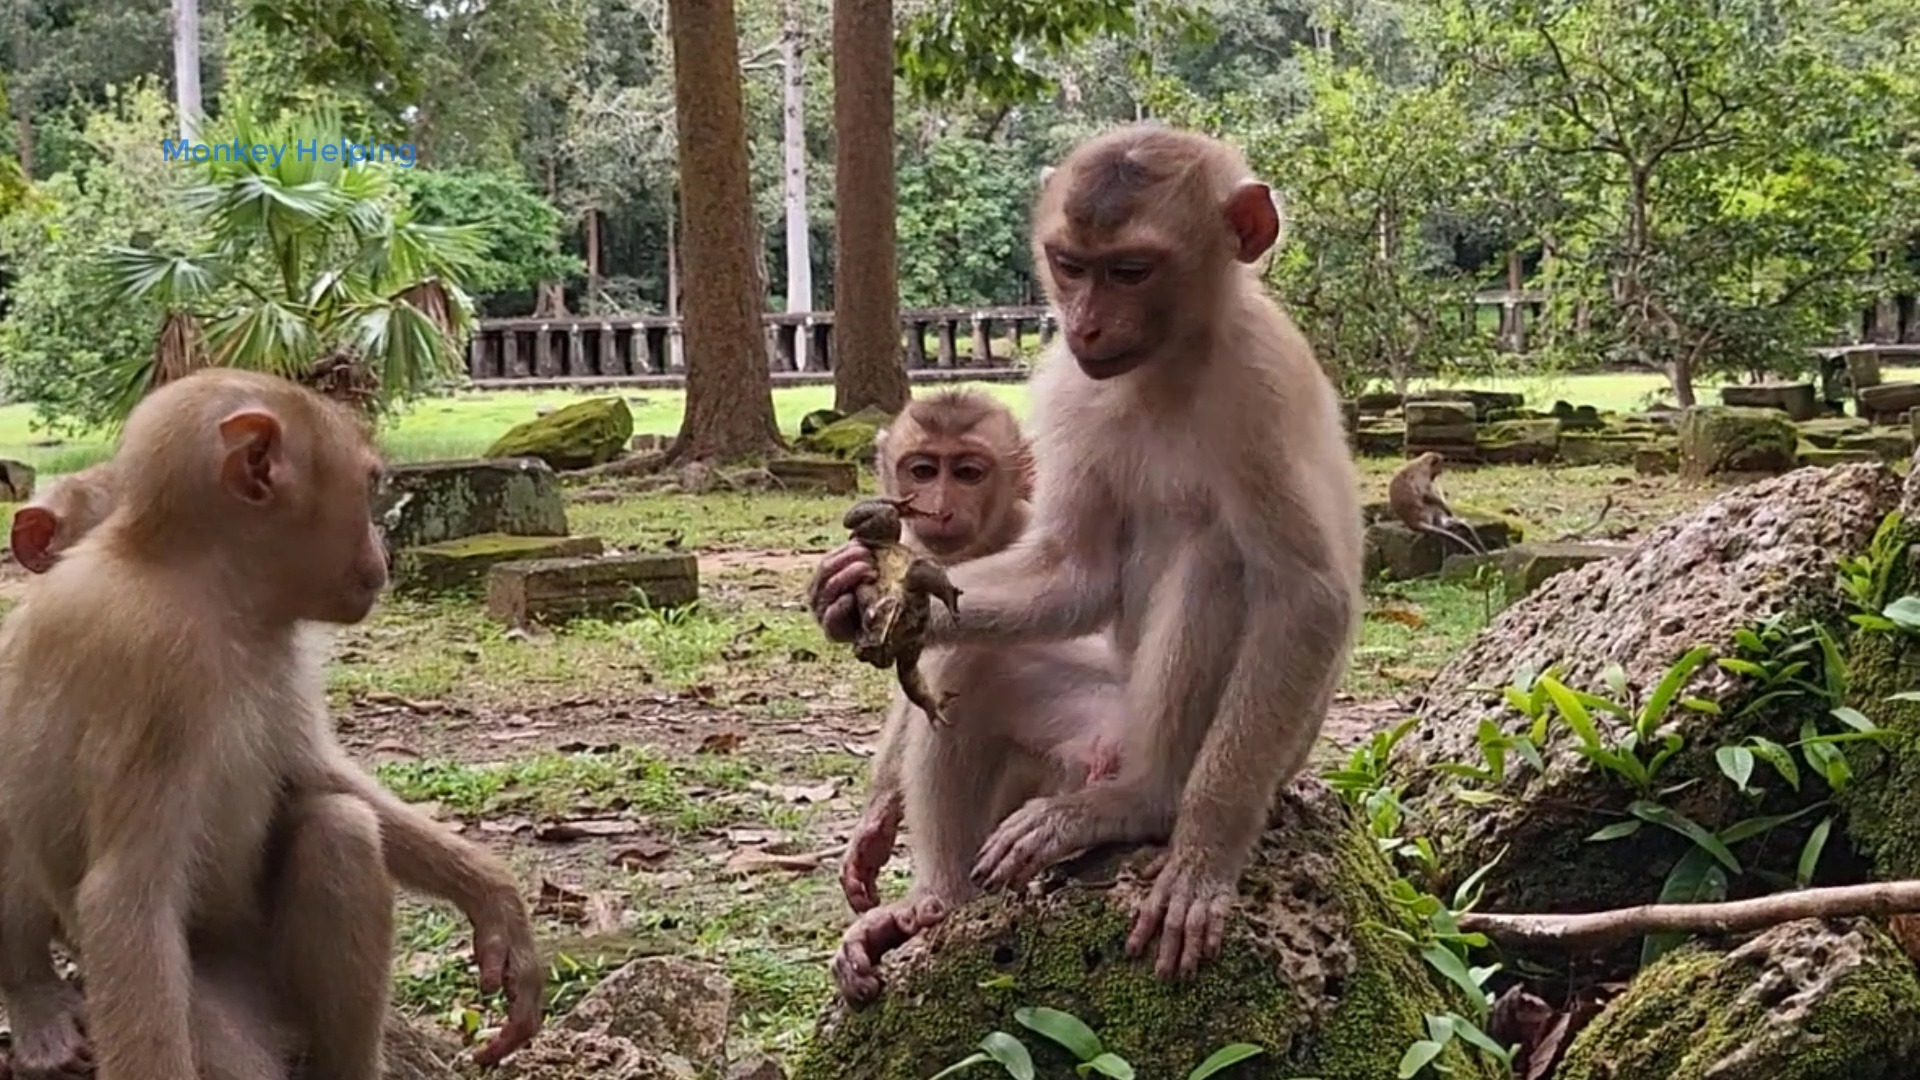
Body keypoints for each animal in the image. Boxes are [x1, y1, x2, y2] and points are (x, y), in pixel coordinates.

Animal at [0, 369, 544, 1080]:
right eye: (369, 487)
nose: (383, 553)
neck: (204, 582)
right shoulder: (160, 667)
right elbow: (126, 898)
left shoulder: (275, 647)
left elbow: (313, 773)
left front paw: (493, 897)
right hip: (199, 999)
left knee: (339, 829)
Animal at [831, 389, 1128, 1003]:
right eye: (923, 470)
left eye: (968, 472)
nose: (938, 507)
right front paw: (873, 827)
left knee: (977, 665)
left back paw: (939, 901)